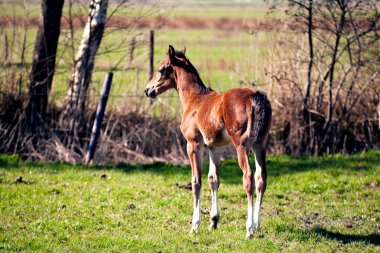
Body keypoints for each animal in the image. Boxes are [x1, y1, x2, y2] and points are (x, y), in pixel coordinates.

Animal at [144, 45, 272, 237]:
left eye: (160, 69)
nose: (148, 90)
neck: (194, 99)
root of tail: (255, 96)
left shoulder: (193, 145)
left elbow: (196, 181)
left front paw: (195, 225)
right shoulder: (214, 148)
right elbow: (214, 179)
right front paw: (213, 221)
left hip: (241, 145)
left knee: (248, 176)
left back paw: (249, 229)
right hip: (260, 144)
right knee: (261, 177)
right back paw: (257, 225)